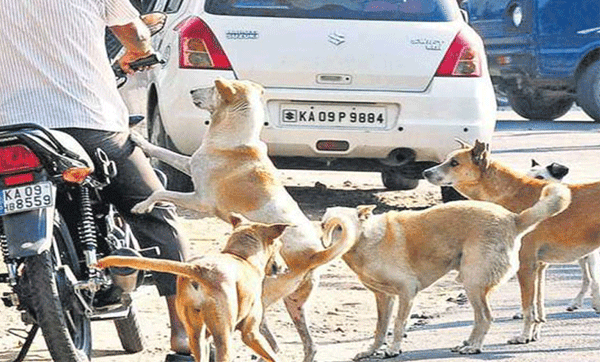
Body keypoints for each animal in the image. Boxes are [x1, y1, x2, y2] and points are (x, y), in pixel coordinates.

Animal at [96, 215, 288, 362]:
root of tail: (199, 269)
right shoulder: (251, 333)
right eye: (279, 246)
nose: (285, 268)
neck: (241, 257)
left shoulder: (207, 336)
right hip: (223, 336)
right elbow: (274, 357)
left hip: (195, 335)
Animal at [129, 79, 354, 362]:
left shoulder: (199, 200)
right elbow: (162, 151)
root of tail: (313, 254)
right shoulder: (188, 164)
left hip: (262, 294)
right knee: (308, 346)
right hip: (295, 304)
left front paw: (141, 205)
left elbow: (159, 192)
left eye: (212, 88)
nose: (192, 91)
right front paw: (138, 139)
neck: (237, 137)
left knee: (262, 333)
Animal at [322, 182, 568, 358]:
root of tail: (513, 219)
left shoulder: (407, 291)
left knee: (486, 317)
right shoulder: (384, 297)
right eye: (326, 225)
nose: (328, 245)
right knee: (480, 318)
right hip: (473, 284)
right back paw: (468, 343)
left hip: (472, 283)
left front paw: (393, 350)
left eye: (341, 227)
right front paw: (371, 351)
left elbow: (399, 324)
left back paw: (474, 347)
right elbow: (380, 328)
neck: (367, 238)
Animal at [422, 139, 600, 346]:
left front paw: (523, 336)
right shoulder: (539, 267)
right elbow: (538, 306)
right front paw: (533, 334)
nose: (425, 172)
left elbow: (527, 308)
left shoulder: (526, 265)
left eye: (454, 163)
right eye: (446, 160)